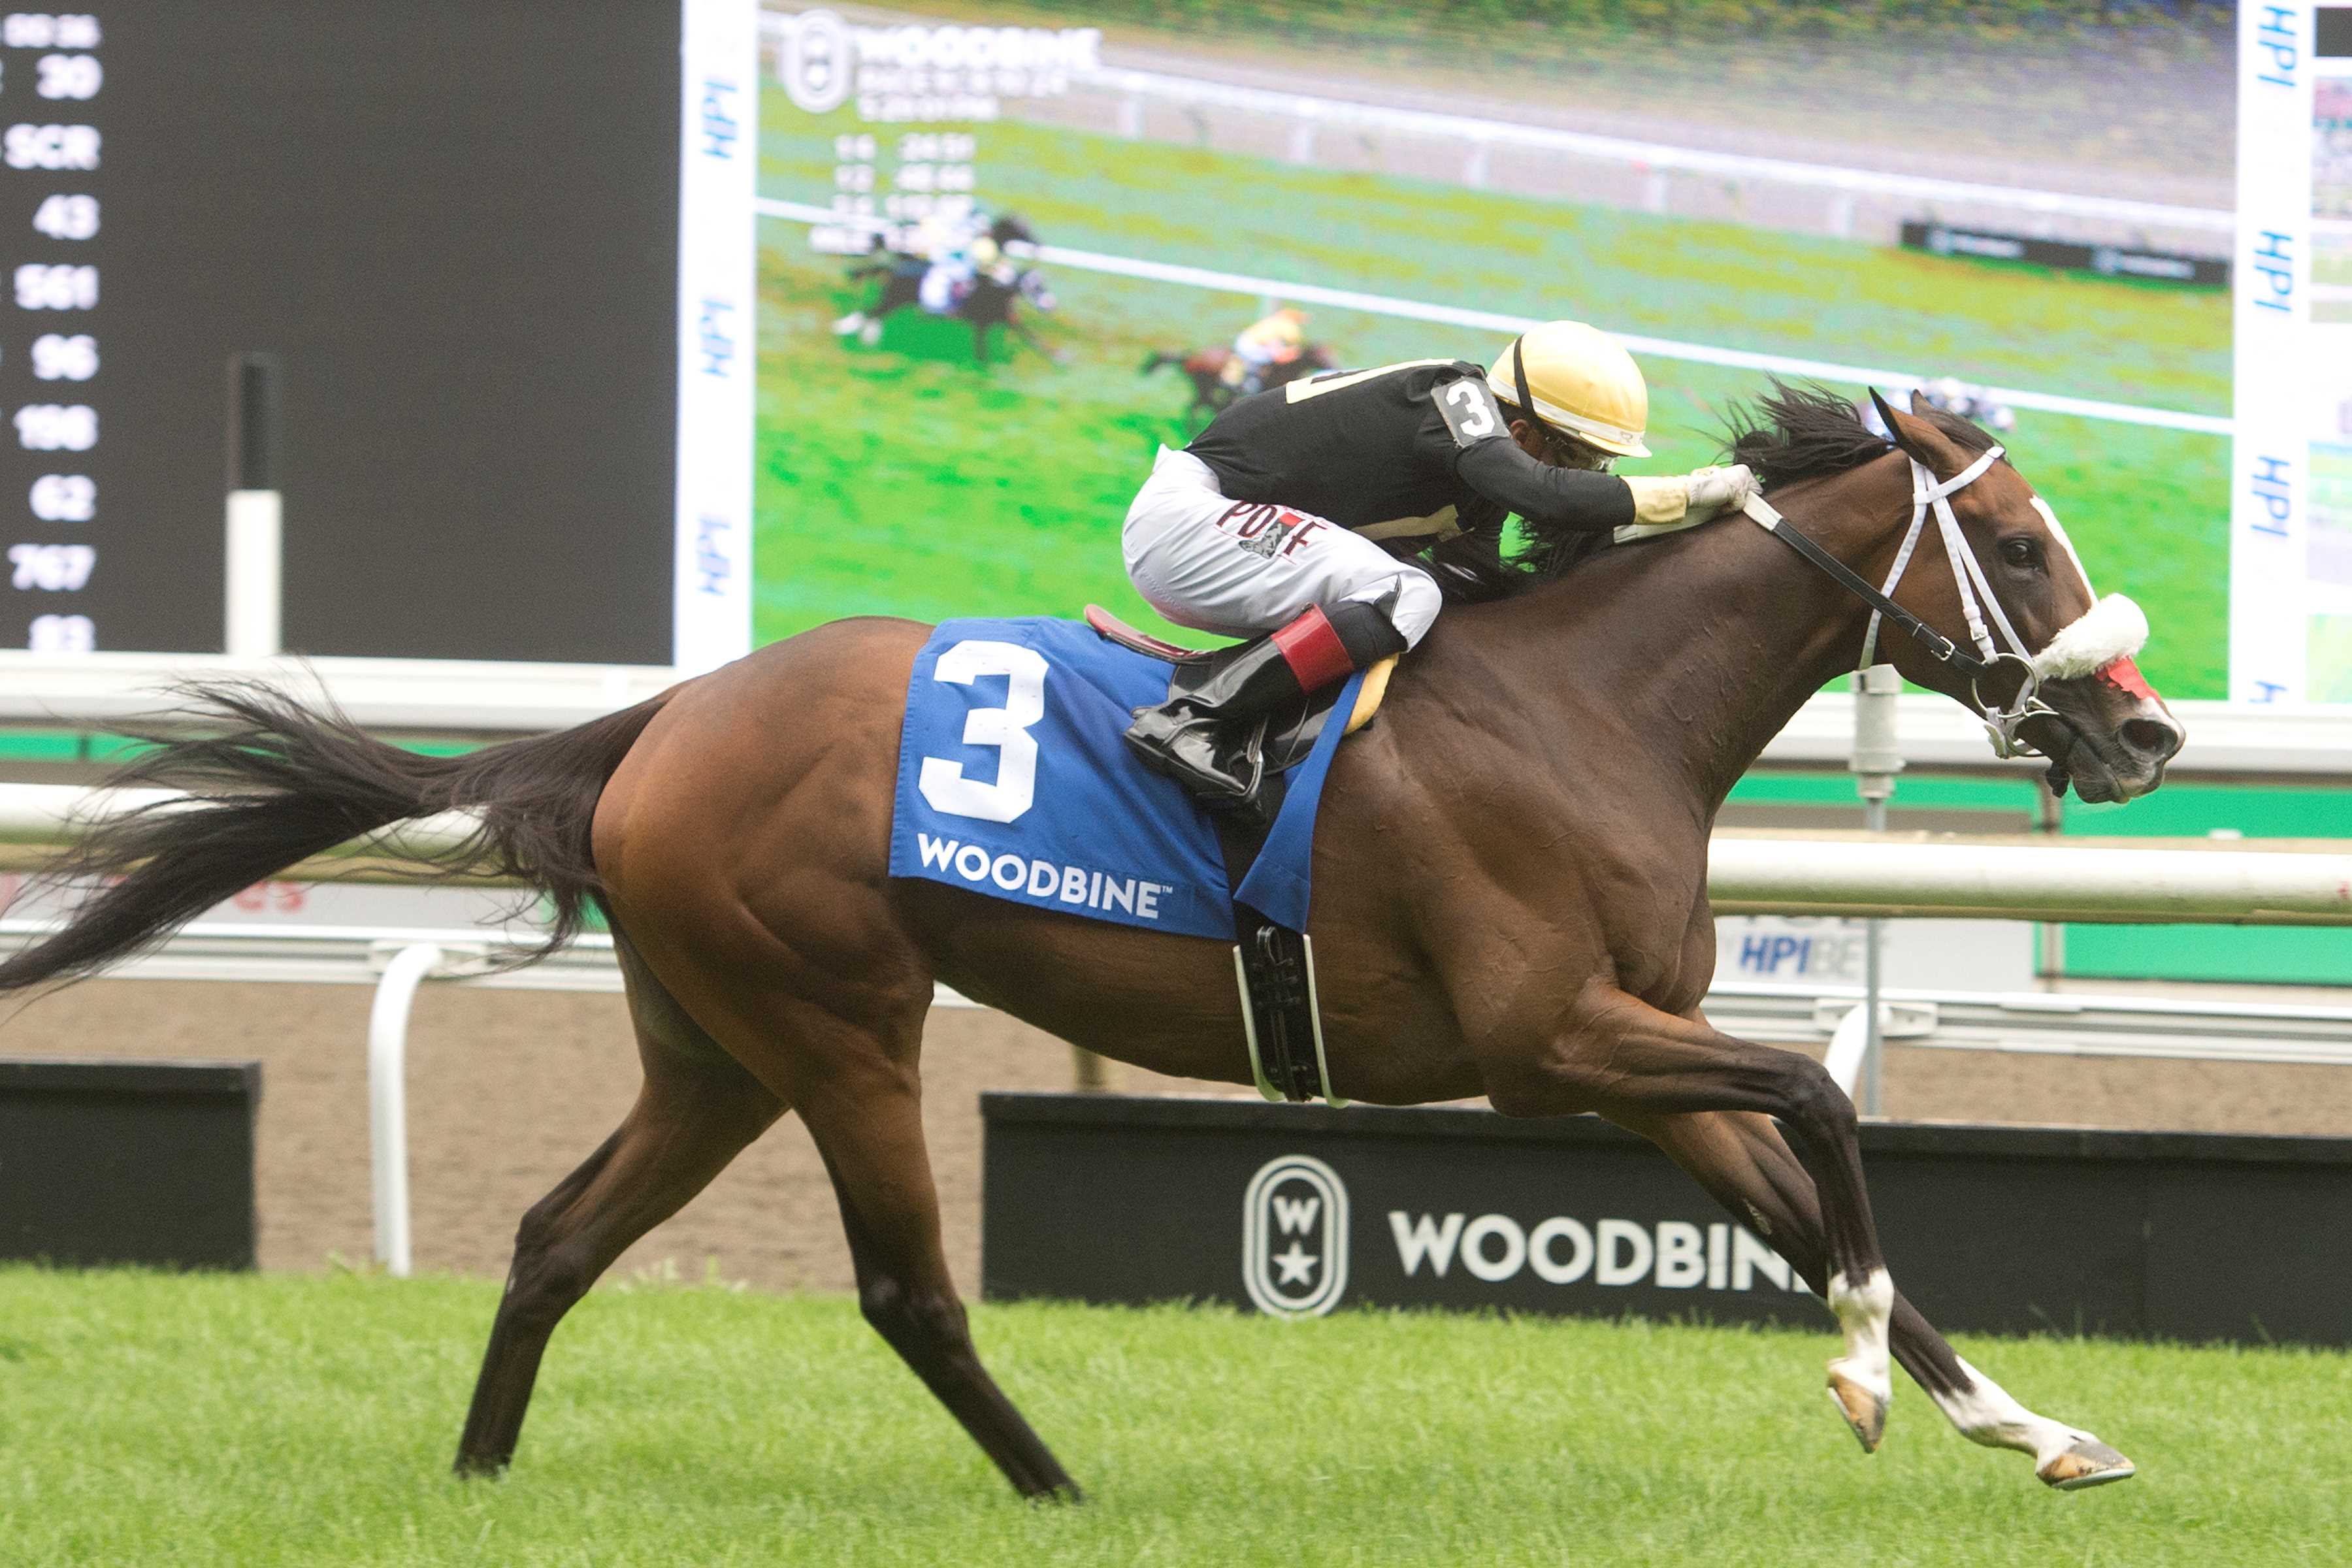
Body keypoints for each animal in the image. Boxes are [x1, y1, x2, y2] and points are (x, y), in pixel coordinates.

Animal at [0, 390, 2182, 1495]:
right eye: (2020, 544)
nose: (2146, 733)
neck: (1593, 708)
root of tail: (666, 714)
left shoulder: (1629, 1052)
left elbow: (1813, 1205)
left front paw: (2020, 1421)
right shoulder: (1549, 1041)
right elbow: (1823, 1101)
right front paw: (1880, 1389)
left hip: (712, 1043)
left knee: (554, 1235)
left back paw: (476, 1476)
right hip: (840, 1022)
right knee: (906, 1288)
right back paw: (1058, 1490)